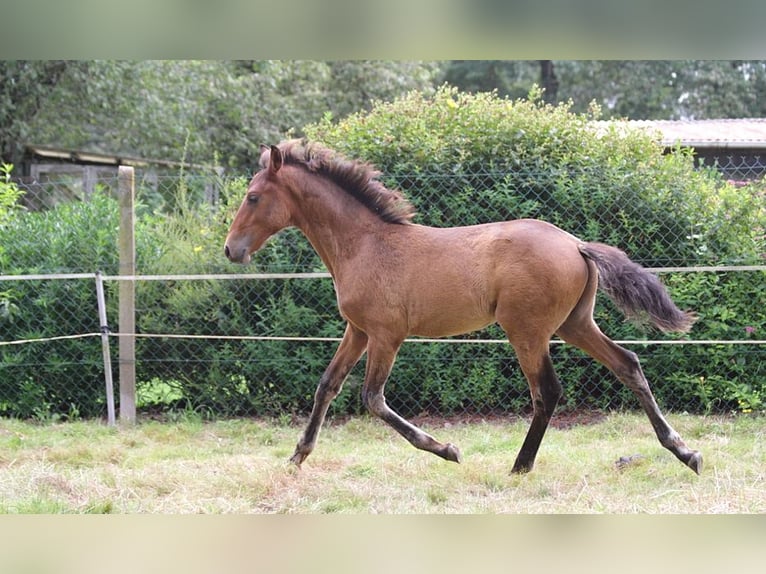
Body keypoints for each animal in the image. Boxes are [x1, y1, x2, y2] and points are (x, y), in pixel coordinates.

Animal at [222, 141, 704, 476]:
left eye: (252, 196)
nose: (231, 249)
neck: (364, 244)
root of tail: (576, 244)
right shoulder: (357, 331)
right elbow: (327, 385)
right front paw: (296, 457)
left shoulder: (386, 335)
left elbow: (372, 398)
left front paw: (447, 450)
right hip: (574, 324)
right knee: (628, 363)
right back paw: (685, 452)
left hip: (527, 332)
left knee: (547, 392)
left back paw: (520, 466)